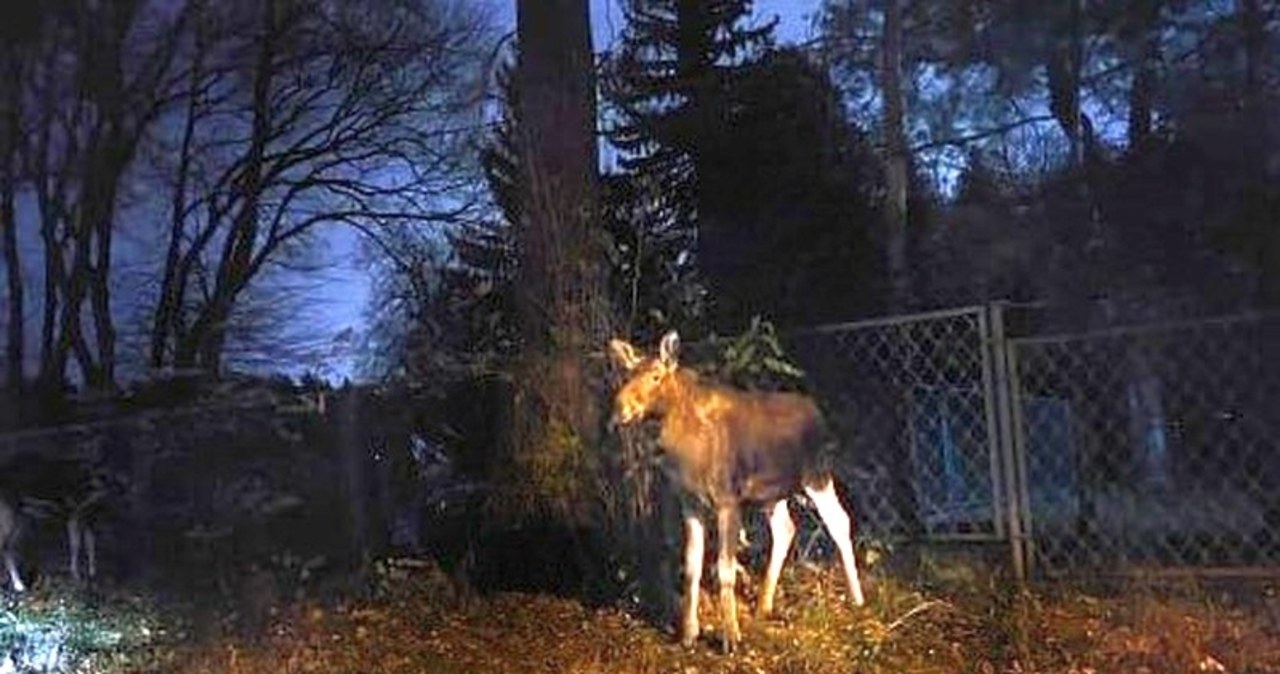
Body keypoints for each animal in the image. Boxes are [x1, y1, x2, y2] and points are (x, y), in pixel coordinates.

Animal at [609, 332, 870, 654]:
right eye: (627, 375)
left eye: (656, 375)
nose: (620, 409)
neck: (685, 451)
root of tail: (819, 414)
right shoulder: (690, 502)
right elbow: (692, 566)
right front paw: (688, 634)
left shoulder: (727, 499)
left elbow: (725, 569)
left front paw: (730, 638)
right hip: (772, 494)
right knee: (786, 528)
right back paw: (763, 606)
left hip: (817, 475)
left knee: (840, 521)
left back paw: (857, 599)